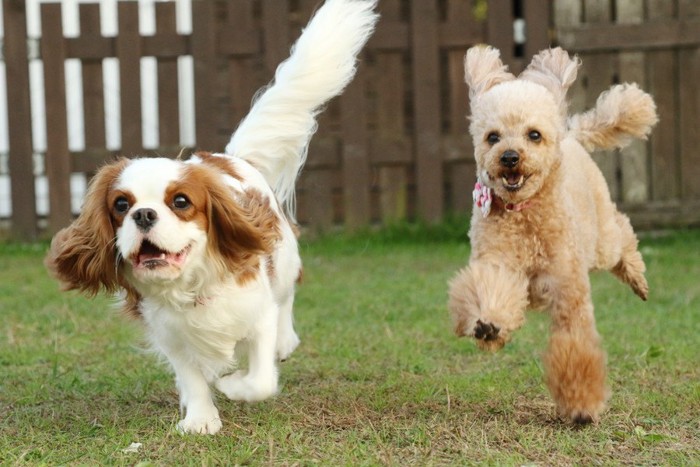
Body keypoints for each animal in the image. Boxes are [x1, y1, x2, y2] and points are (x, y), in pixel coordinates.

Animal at [45, 0, 378, 436]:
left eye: (180, 201)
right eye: (120, 205)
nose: (143, 214)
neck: (190, 287)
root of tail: (229, 157)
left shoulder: (258, 316)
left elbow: (260, 379)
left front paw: (232, 385)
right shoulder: (172, 337)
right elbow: (192, 377)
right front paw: (201, 418)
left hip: (284, 259)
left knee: (287, 296)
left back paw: (284, 342)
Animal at [448, 45, 656, 426]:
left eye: (533, 135)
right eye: (492, 136)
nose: (509, 157)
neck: (525, 213)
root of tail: (571, 134)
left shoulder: (568, 291)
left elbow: (575, 346)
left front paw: (581, 407)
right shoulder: (498, 264)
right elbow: (490, 289)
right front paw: (489, 325)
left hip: (600, 237)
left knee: (620, 234)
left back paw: (637, 277)